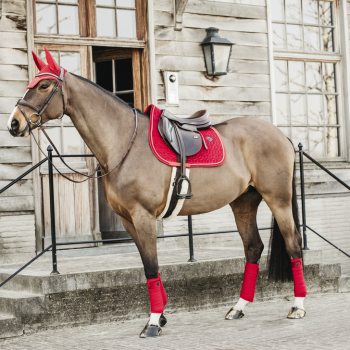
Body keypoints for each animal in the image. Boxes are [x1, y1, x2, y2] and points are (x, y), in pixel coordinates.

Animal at [6, 48, 306, 336]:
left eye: (44, 85)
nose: (14, 123)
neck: (124, 143)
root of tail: (280, 134)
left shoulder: (143, 217)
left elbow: (151, 266)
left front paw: (152, 322)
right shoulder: (129, 221)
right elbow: (148, 268)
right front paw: (160, 315)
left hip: (278, 200)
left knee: (293, 244)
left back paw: (298, 306)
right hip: (243, 203)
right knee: (253, 248)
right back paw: (238, 307)